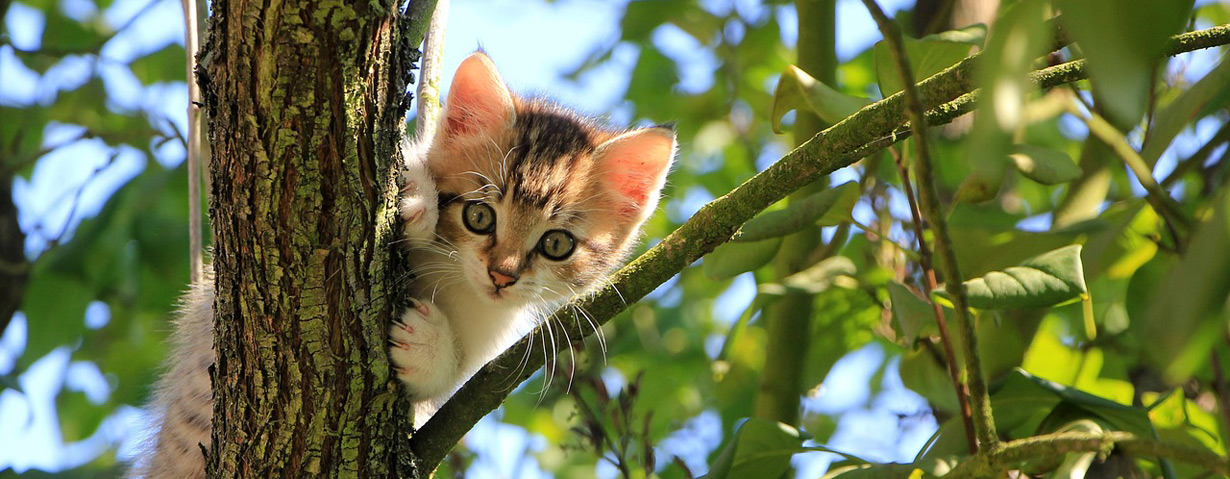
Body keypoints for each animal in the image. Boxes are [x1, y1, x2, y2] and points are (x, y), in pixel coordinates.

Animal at [134, 50, 678, 475]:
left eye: (557, 244)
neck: (453, 280)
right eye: (480, 215)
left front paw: (427, 345)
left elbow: (444, 387)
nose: (501, 275)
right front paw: (417, 196)